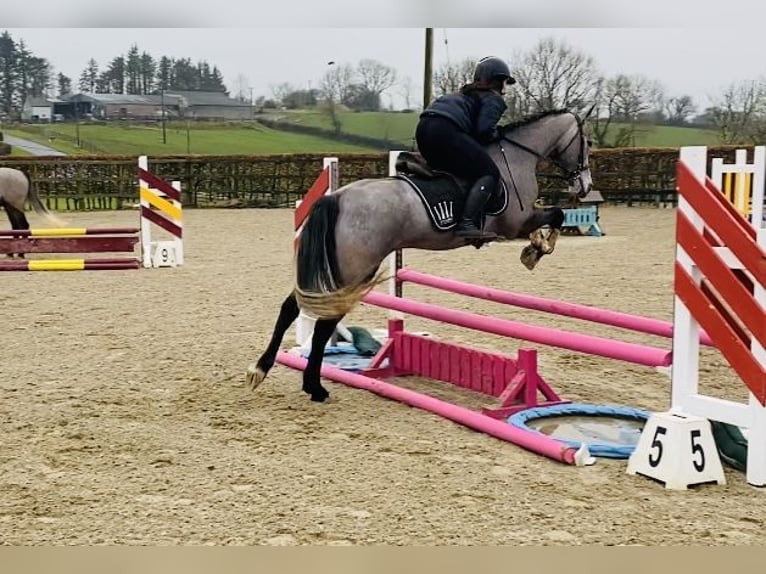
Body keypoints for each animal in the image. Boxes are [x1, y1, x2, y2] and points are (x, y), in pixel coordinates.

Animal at [249, 109, 596, 404]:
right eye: (587, 143)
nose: (585, 186)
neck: (517, 156)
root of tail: (336, 197)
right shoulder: (515, 223)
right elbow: (557, 214)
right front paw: (536, 250)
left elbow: (554, 215)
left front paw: (537, 246)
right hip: (355, 269)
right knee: (321, 326)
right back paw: (314, 387)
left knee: (292, 307)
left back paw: (264, 370)